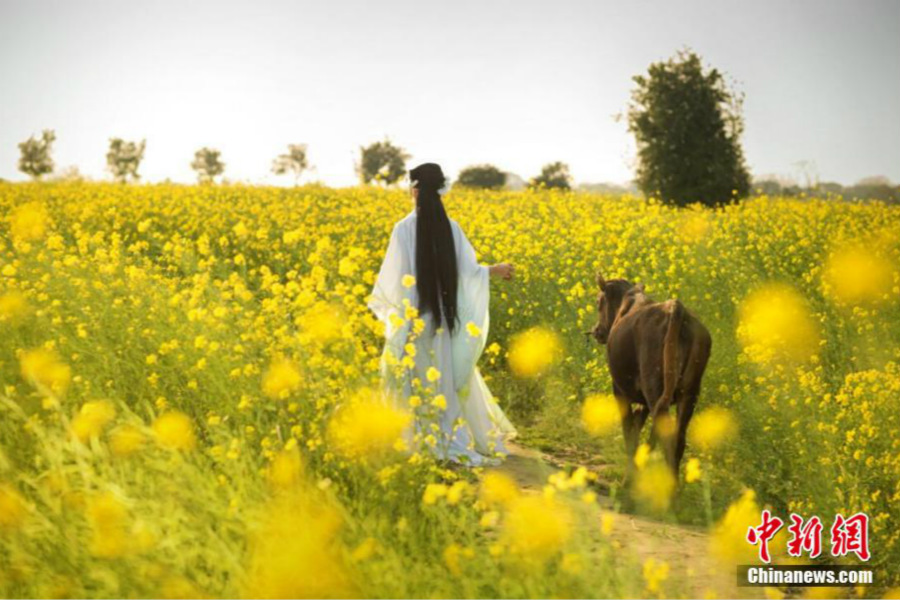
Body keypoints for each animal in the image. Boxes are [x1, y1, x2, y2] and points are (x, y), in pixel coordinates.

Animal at [588, 274, 712, 476]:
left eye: (598, 301)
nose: (597, 330)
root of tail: (676, 309)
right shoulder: (645, 402)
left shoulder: (619, 390)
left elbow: (629, 431)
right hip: (688, 393)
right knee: (677, 438)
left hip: (654, 387)